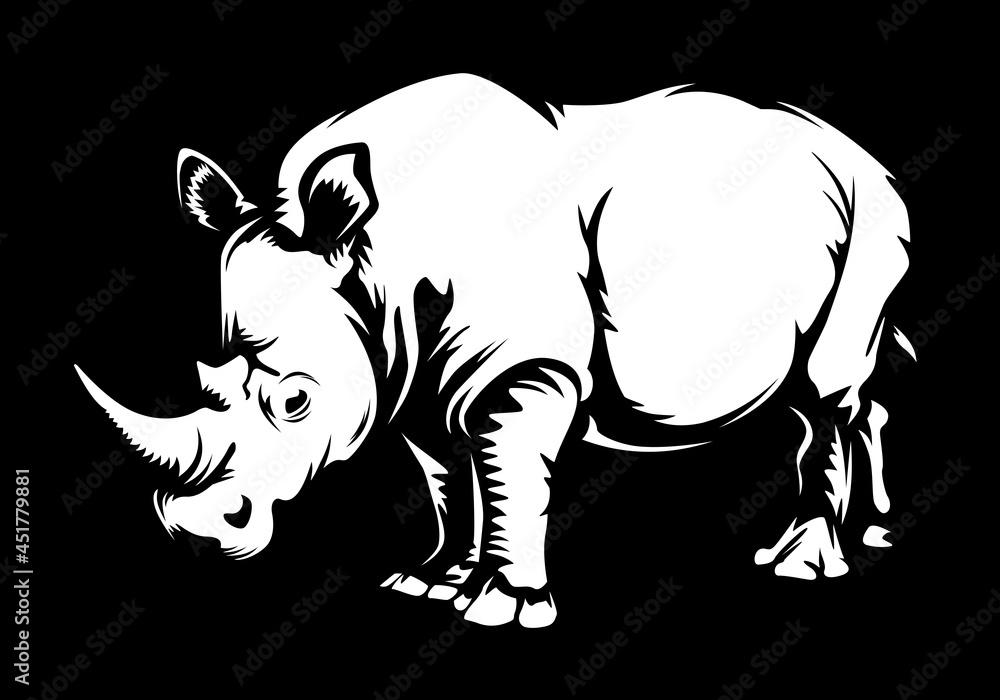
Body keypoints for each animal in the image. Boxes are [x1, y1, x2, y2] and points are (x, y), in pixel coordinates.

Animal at [76, 74, 912, 627]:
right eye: (204, 373)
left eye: (295, 400)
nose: (198, 532)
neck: (378, 259)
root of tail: (866, 155)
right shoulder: (408, 372)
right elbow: (448, 476)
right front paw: (431, 582)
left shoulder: (528, 370)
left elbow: (508, 469)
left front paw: (504, 605)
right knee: (838, 396)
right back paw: (871, 530)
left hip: (871, 219)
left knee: (826, 391)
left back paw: (802, 563)